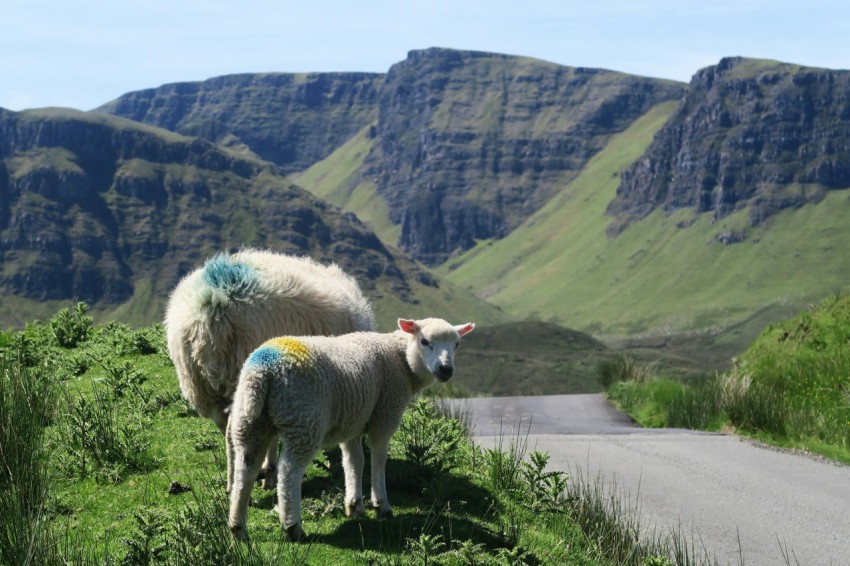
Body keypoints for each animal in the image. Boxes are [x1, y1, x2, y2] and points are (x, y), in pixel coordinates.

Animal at [226, 317, 475, 541]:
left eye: (457, 344)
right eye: (424, 341)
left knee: (245, 470)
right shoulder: (384, 418)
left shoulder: (352, 423)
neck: (400, 359)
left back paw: (238, 527)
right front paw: (381, 506)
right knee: (289, 473)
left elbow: (354, 462)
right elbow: (378, 461)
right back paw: (293, 527)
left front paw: (354, 505)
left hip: (250, 422)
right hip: (303, 421)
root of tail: (263, 371)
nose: (446, 369)